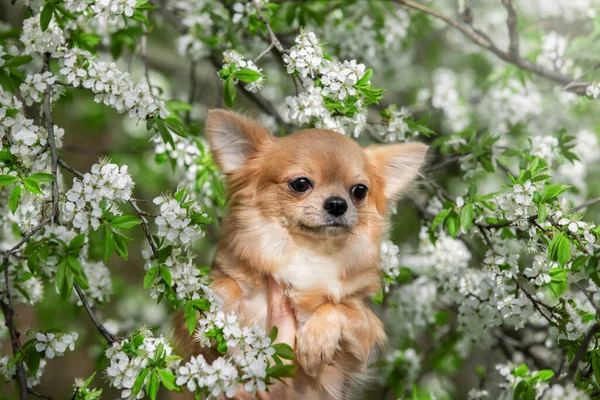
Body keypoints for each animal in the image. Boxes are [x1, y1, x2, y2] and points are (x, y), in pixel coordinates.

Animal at [177, 110, 426, 400]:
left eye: (359, 191)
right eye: (300, 184)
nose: (337, 203)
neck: (307, 251)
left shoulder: (365, 329)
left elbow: (337, 307)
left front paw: (315, 340)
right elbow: (227, 284)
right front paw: (215, 300)